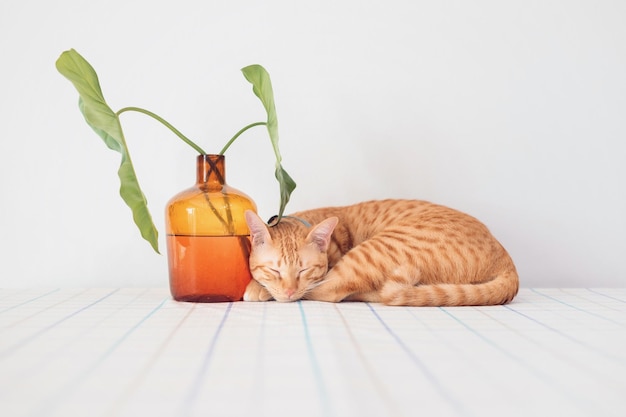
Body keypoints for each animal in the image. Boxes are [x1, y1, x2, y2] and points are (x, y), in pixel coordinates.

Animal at [241, 198, 520, 306]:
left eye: (304, 270)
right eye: (275, 270)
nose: (289, 291)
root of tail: (507, 260)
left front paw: (258, 289)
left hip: (376, 249)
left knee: (334, 291)